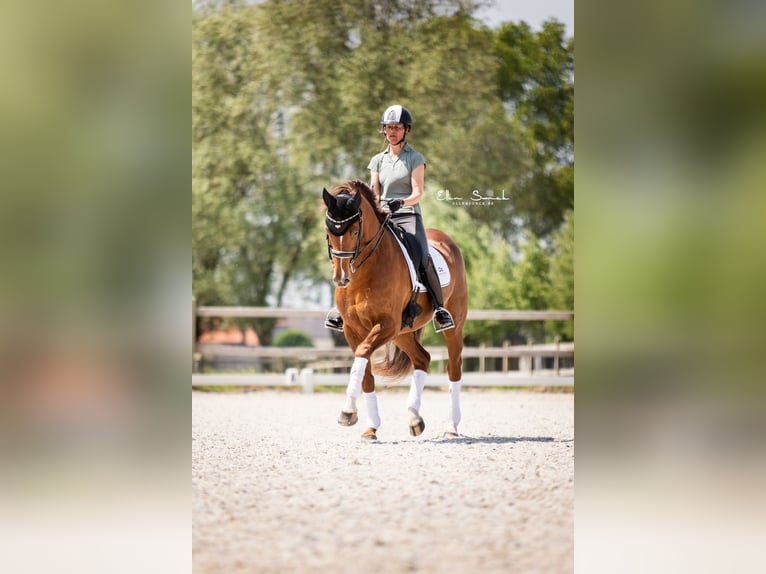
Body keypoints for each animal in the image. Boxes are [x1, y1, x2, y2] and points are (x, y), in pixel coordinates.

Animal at [322, 179, 468, 441]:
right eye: (329, 231)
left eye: (355, 231)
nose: (341, 278)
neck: (364, 274)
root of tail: (445, 239)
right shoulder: (353, 329)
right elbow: (365, 373)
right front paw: (370, 427)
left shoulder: (386, 325)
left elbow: (363, 354)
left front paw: (347, 411)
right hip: (402, 332)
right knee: (423, 358)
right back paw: (414, 418)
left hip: (453, 326)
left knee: (454, 368)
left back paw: (451, 427)